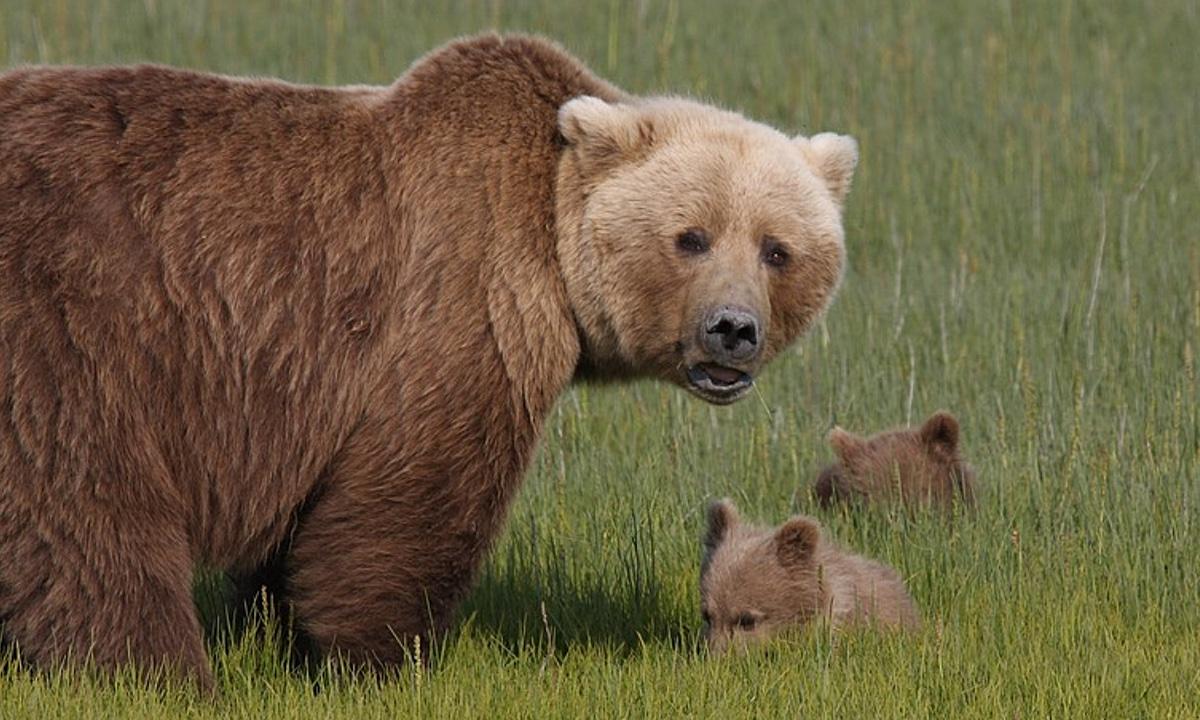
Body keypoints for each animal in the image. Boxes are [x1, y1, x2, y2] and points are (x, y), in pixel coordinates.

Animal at [0, 33, 858, 690]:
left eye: (777, 248)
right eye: (691, 236)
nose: (732, 331)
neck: (550, 242)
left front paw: (278, 632)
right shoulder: (459, 305)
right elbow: (409, 499)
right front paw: (378, 659)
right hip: (77, 322)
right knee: (84, 506)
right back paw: (156, 670)